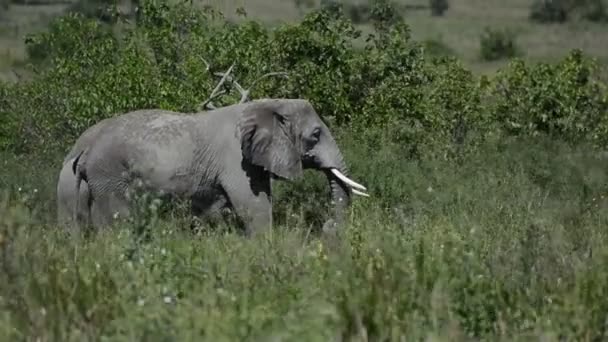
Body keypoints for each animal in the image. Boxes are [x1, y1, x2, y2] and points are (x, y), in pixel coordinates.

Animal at [71, 97, 366, 234]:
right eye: (315, 135)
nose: (328, 226)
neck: (268, 104)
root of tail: (87, 151)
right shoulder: (236, 160)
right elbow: (255, 206)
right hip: (109, 175)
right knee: (117, 218)